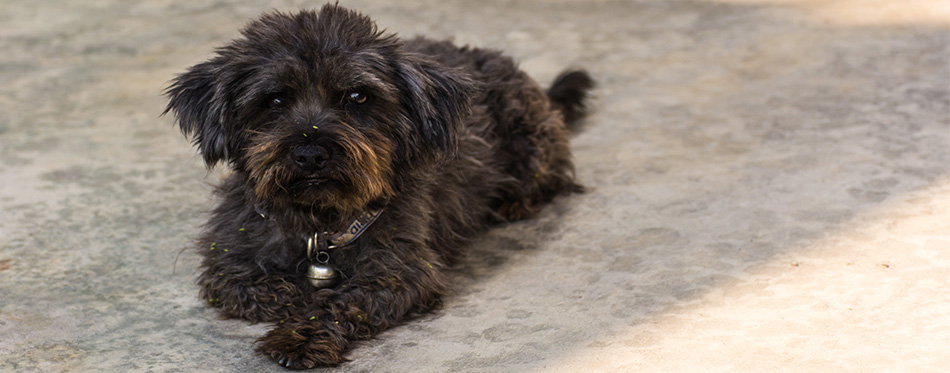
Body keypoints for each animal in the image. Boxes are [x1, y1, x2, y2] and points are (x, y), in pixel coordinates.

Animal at [165, 3, 596, 370]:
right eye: (273, 100)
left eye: (358, 96)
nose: (310, 153)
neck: (318, 221)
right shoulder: (226, 264)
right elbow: (265, 289)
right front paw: (301, 300)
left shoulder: (401, 271)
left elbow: (343, 301)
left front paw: (303, 336)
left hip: (531, 136)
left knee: (553, 175)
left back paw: (510, 203)